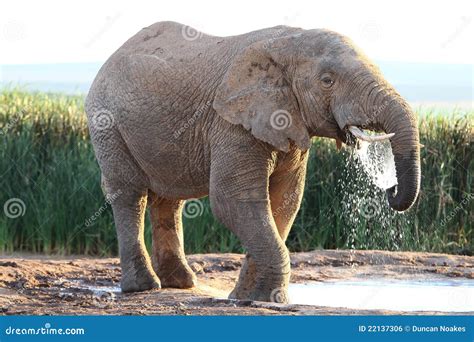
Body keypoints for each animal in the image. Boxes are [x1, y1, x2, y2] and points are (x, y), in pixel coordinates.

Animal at [84, 20, 418, 302]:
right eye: (327, 81)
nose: (390, 189)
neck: (288, 43)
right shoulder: (230, 123)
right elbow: (234, 200)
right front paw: (268, 299)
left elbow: (285, 202)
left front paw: (247, 297)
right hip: (107, 124)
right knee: (130, 194)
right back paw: (143, 287)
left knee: (170, 199)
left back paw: (181, 284)